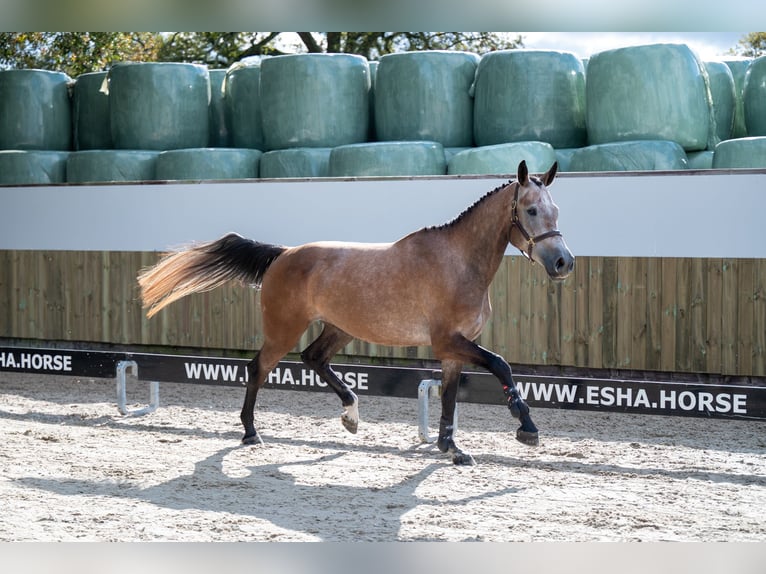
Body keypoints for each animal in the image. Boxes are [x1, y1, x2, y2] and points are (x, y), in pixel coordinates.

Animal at [138, 160, 572, 466]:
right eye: (531, 211)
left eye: (556, 210)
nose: (563, 262)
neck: (459, 262)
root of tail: (283, 254)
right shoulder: (449, 340)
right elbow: (501, 365)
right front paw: (526, 426)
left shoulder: (454, 350)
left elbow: (450, 397)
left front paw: (451, 447)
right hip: (283, 329)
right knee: (258, 367)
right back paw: (250, 432)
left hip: (339, 327)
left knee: (314, 358)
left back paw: (350, 415)